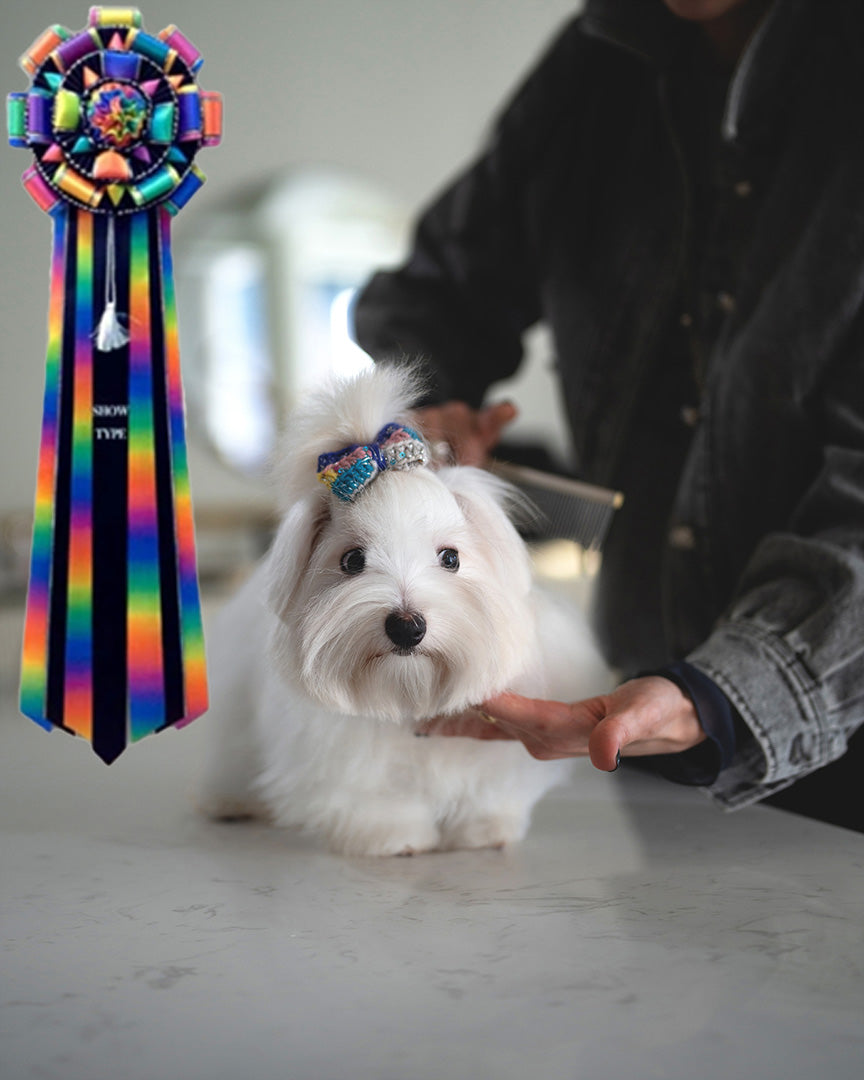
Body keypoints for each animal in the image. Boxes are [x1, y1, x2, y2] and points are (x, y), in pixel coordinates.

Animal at [199, 367, 609, 855]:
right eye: (352, 561)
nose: (407, 626)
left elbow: (491, 792)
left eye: (450, 558)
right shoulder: (343, 759)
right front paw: (393, 836)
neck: (407, 691)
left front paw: (485, 829)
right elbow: (371, 798)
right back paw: (230, 801)